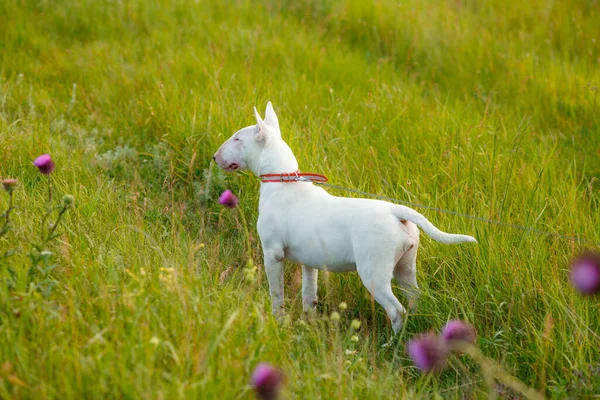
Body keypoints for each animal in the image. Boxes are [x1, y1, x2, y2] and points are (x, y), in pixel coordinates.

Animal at [213, 101, 476, 332]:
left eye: (237, 138)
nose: (215, 157)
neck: (283, 181)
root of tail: (395, 211)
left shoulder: (272, 253)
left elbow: (276, 293)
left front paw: (277, 321)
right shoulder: (309, 261)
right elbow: (309, 294)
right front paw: (309, 325)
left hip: (373, 272)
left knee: (397, 310)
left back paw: (391, 345)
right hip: (406, 267)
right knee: (414, 300)